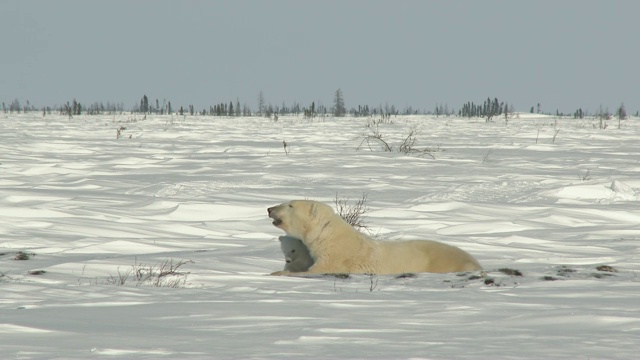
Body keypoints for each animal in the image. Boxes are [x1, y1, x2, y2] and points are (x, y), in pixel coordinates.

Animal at [268, 200, 482, 276]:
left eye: (289, 205)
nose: (270, 208)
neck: (328, 237)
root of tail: (476, 262)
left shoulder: (336, 258)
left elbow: (317, 271)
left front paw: (276, 273)